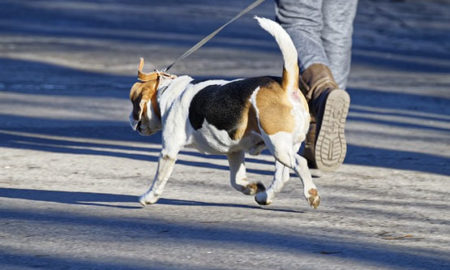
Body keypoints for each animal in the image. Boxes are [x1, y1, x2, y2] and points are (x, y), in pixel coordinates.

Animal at [130, 17, 320, 209]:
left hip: (278, 145)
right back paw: (264, 196)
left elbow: (159, 179)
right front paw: (252, 188)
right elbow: (236, 181)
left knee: (300, 162)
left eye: (133, 103)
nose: (132, 120)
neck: (167, 90)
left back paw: (311, 194)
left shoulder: (169, 150)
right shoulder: (235, 152)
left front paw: (148, 197)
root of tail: (285, 85)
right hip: (282, 148)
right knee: (282, 176)